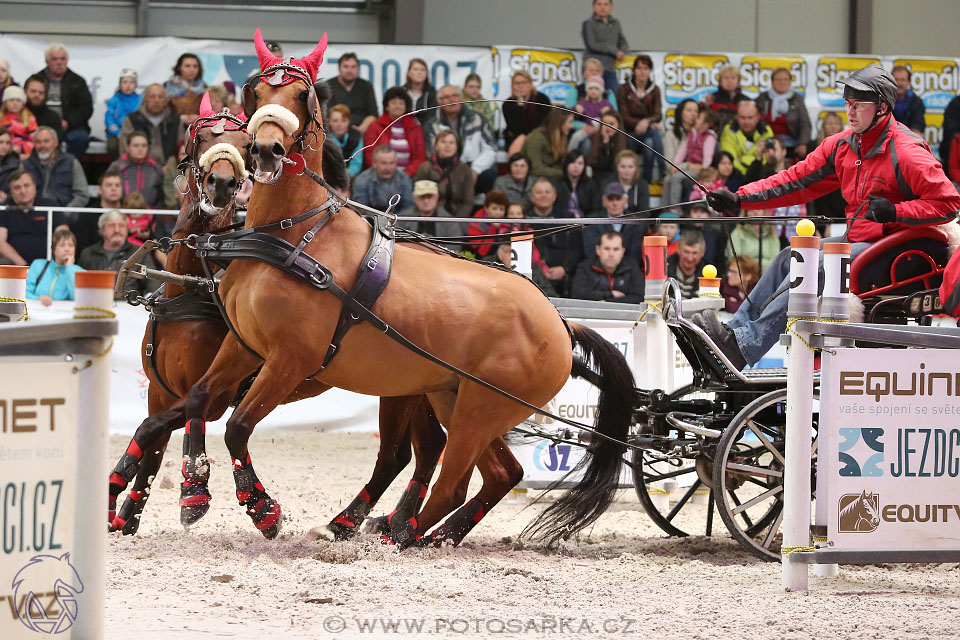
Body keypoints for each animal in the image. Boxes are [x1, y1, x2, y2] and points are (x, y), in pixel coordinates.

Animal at [109, 94, 450, 536]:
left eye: (243, 141)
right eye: (200, 138)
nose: (221, 184)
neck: (189, 287)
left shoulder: (216, 396)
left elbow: (161, 429)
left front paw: (196, 493)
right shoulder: (159, 391)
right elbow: (150, 445)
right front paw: (125, 514)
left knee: (414, 452)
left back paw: (389, 525)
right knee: (428, 448)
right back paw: (390, 522)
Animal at [176, 30, 632, 548]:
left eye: (303, 95)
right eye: (255, 91)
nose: (268, 150)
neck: (295, 236)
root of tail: (559, 321)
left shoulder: (290, 360)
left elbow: (237, 425)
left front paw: (262, 508)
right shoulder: (245, 345)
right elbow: (198, 397)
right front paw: (194, 490)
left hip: (480, 410)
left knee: (453, 482)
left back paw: (399, 535)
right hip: (455, 397)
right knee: (501, 473)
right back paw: (419, 533)